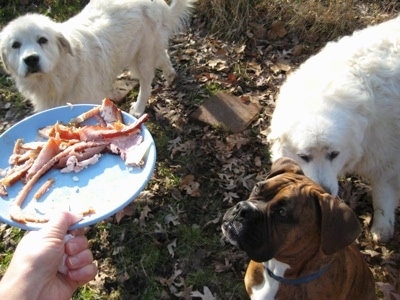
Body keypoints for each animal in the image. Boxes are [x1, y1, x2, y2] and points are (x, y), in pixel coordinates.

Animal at [0, 0, 195, 115]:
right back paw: (170, 74)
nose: (31, 59)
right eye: (15, 45)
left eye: (42, 40)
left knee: (146, 83)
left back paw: (139, 108)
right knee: (163, 55)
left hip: (142, 57)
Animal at [268, 15, 400, 243]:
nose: (324, 190)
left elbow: (383, 194)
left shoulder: (387, 158)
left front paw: (382, 228)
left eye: (334, 154)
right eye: (304, 156)